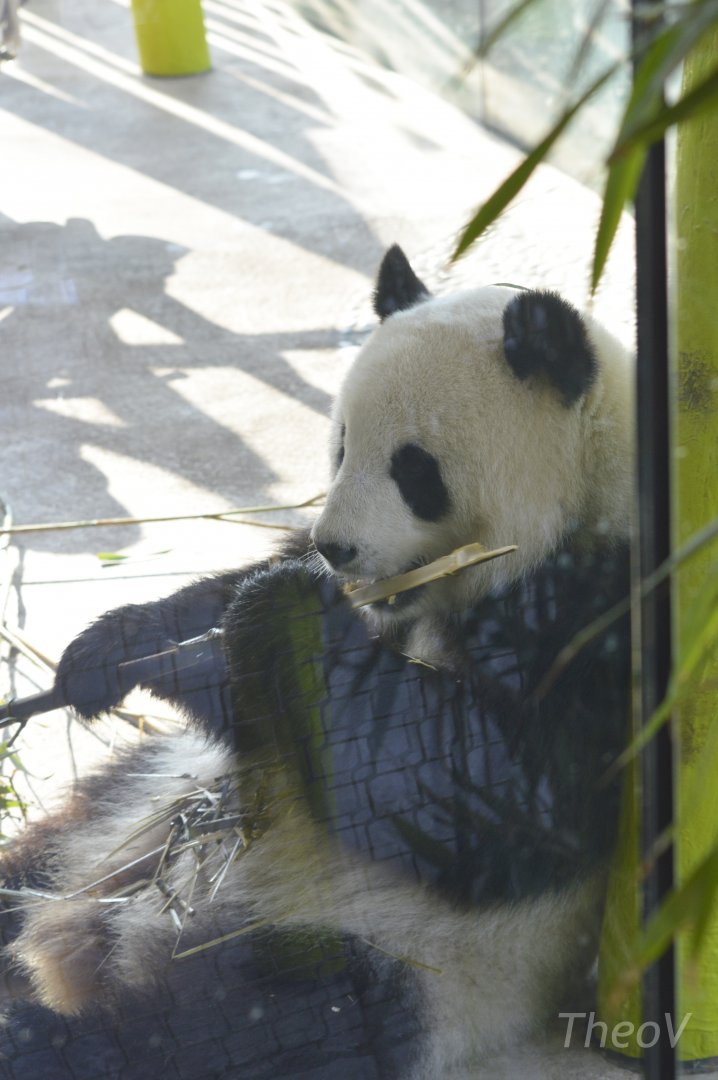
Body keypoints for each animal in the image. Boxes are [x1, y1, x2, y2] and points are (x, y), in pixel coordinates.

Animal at [0, 247, 633, 1080]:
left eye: (414, 469)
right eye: (338, 446)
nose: (337, 548)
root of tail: (100, 939)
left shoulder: (599, 614)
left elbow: (487, 788)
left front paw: (284, 612)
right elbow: (238, 621)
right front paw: (116, 648)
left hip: (374, 959)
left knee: (218, 1035)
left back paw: (42, 1029)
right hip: (134, 805)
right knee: (35, 863)